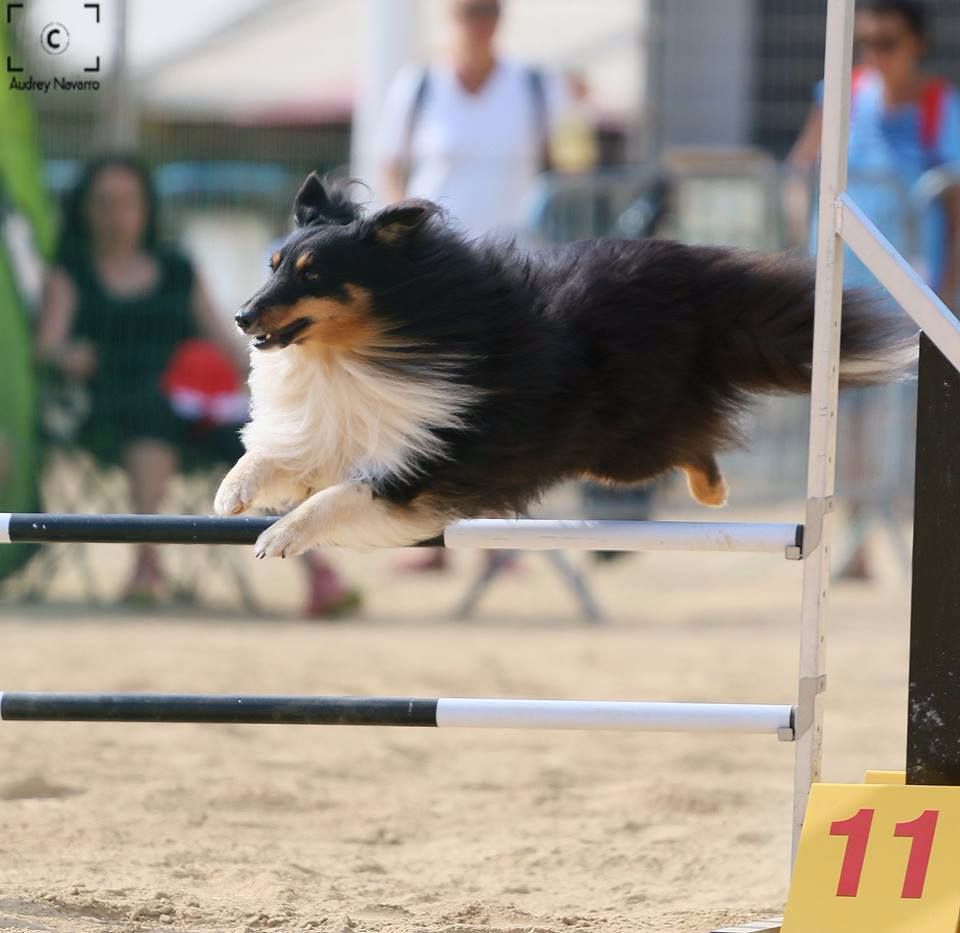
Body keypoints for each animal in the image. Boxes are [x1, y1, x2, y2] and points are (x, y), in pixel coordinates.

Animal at [214, 171, 912, 556]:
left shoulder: (415, 468)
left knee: (694, 442)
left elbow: (334, 498)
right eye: (274, 265)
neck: (357, 354)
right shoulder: (332, 430)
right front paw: (232, 494)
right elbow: (277, 456)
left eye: (313, 274)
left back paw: (713, 492)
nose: (242, 317)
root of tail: (695, 283)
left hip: (626, 444)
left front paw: (279, 537)